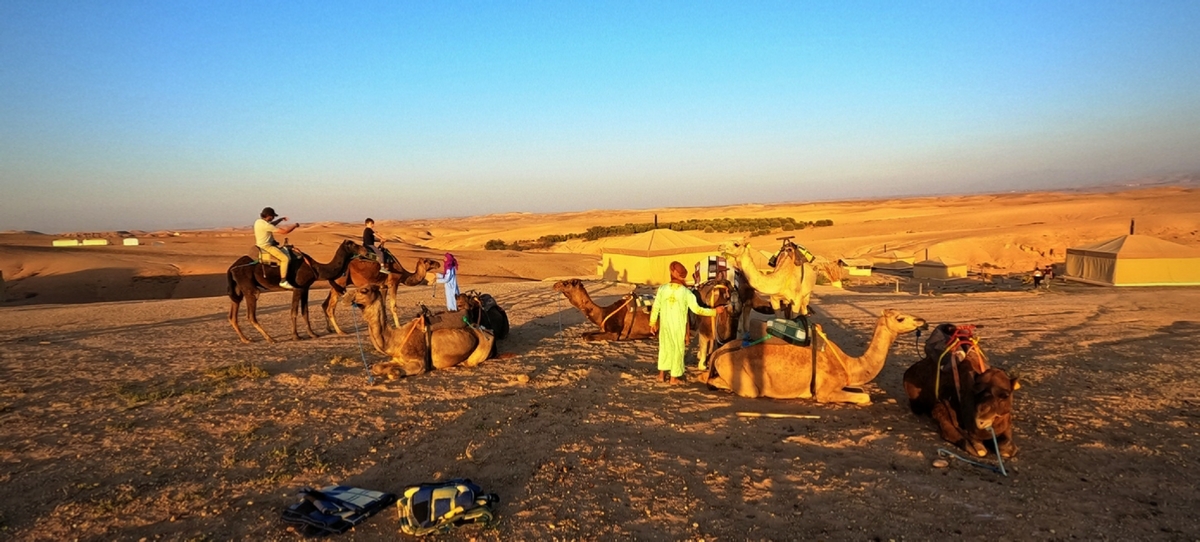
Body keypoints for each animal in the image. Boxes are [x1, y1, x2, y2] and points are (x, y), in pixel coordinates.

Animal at [225, 239, 364, 342]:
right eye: (352, 244)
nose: (364, 249)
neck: (315, 268)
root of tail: (232, 267)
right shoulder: (298, 288)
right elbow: (294, 312)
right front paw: (296, 336)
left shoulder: (305, 288)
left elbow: (305, 312)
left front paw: (312, 334)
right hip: (249, 288)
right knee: (251, 313)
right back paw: (270, 338)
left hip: (238, 289)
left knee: (233, 314)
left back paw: (245, 339)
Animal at [350, 285, 494, 378]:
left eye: (364, 290)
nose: (351, 298)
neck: (397, 339)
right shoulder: (398, 359)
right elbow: (376, 367)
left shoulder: (419, 363)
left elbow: (393, 373)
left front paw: (393, 372)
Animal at [700, 306, 931, 405]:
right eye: (900, 318)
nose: (923, 321)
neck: (847, 364)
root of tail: (719, 352)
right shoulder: (824, 391)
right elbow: (865, 397)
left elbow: (861, 390)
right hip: (745, 383)